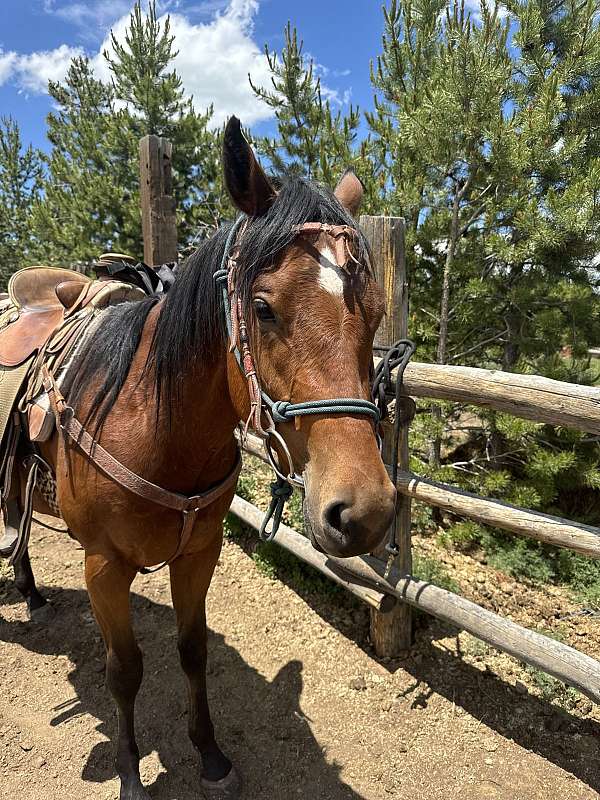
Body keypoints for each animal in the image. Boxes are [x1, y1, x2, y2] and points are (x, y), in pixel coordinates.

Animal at [9, 117, 396, 800]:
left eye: (374, 314)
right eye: (263, 308)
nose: (365, 512)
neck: (155, 426)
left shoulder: (200, 552)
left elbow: (193, 650)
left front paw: (210, 754)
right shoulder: (102, 566)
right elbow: (124, 669)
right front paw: (130, 772)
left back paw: (30, 591)